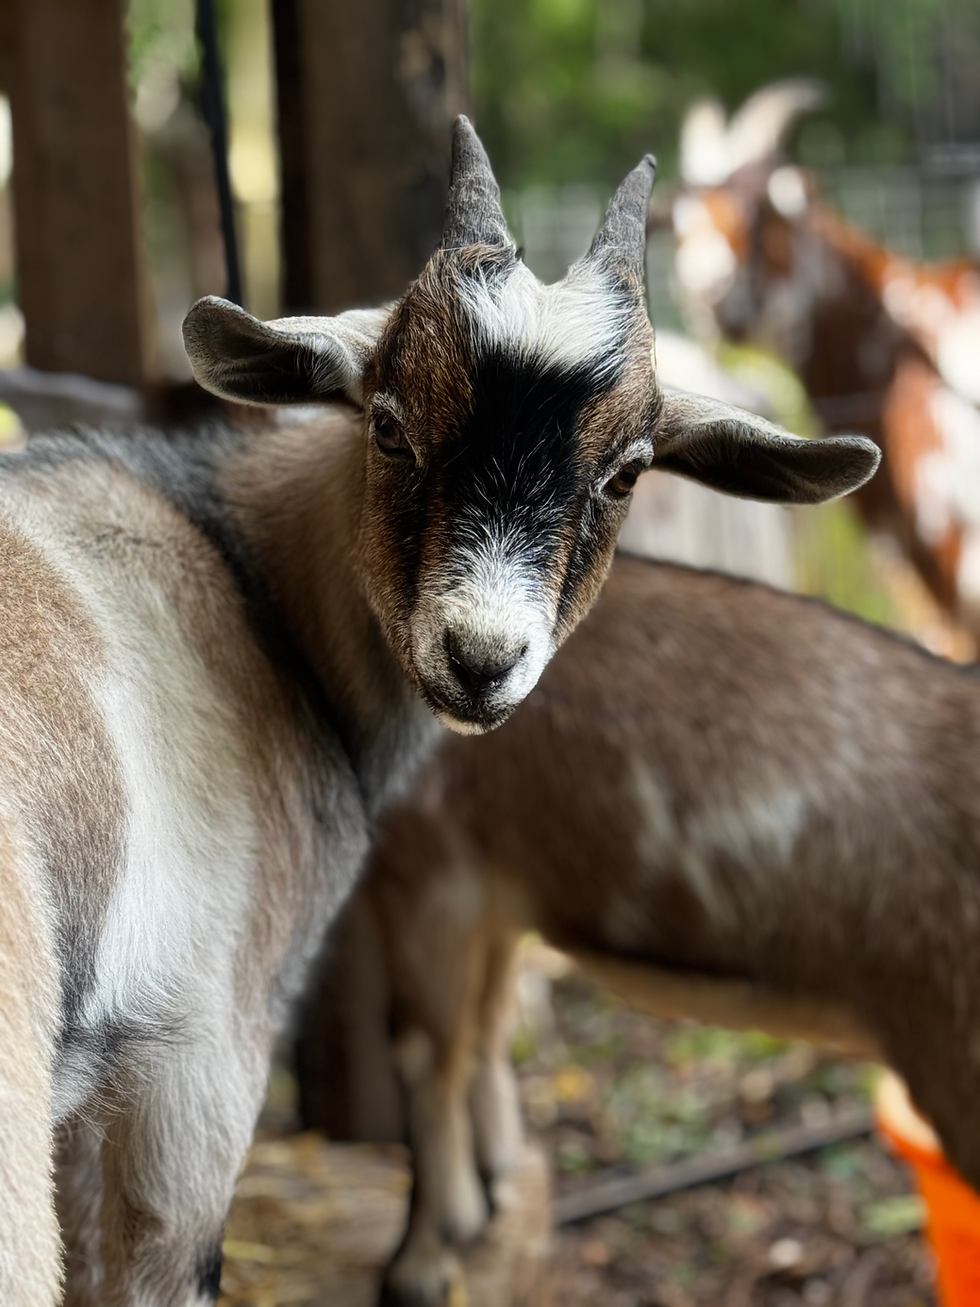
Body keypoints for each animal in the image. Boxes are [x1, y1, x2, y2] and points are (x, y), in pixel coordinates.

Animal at [316, 550, 980, 1306]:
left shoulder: (429, 862)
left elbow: (426, 1060)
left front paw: (424, 1260)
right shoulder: (496, 887)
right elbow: (485, 1031)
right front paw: (492, 1184)